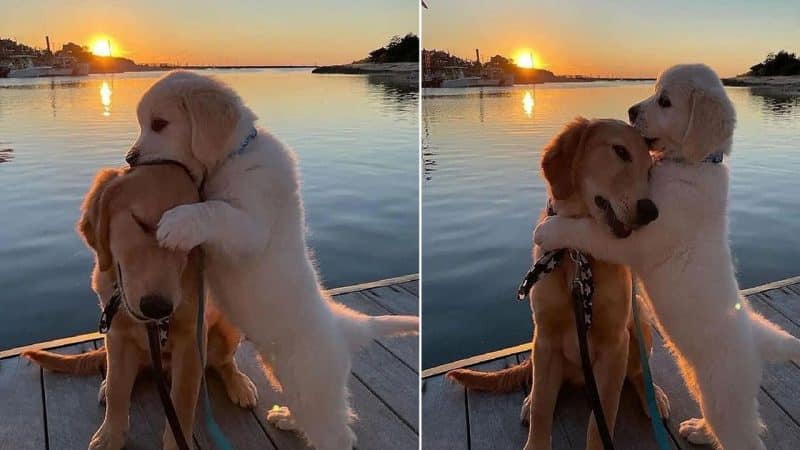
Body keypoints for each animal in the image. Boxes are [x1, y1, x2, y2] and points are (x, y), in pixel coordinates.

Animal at [23, 71, 418, 450]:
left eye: (159, 124)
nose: (130, 158)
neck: (236, 156)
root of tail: (345, 326)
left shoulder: (251, 224)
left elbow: (215, 210)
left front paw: (176, 223)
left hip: (307, 382)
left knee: (338, 434)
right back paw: (286, 418)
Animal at [446, 63, 800, 450]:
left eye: (664, 101)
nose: (631, 111)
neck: (696, 165)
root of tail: (758, 339)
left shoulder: (639, 242)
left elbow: (589, 232)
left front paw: (548, 230)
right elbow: (542, 404)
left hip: (710, 381)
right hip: (700, 379)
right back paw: (698, 430)